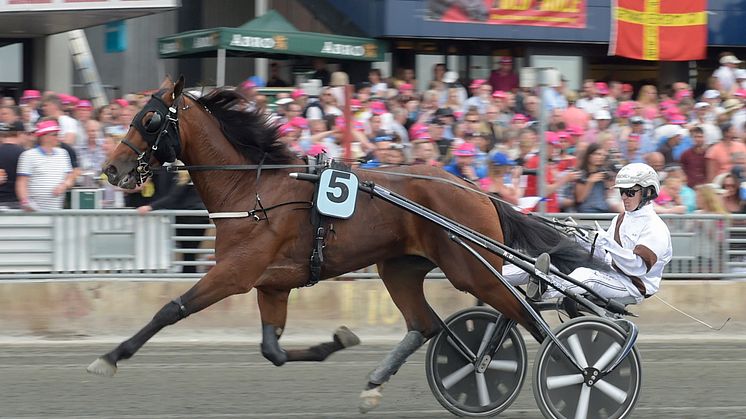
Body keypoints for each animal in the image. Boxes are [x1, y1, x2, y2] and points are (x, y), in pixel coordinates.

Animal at [91, 76, 604, 414]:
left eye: (150, 119)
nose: (111, 169)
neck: (251, 191)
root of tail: (479, 191)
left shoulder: (234, 275)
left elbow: (170, 309)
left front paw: (110, 358)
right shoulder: (272, 285)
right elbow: (273, 350)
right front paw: (337, 340)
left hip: (473, 270)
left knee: (535, 323)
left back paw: (582, 373)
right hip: (400, 267)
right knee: (426, 324)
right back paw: (382, 382)